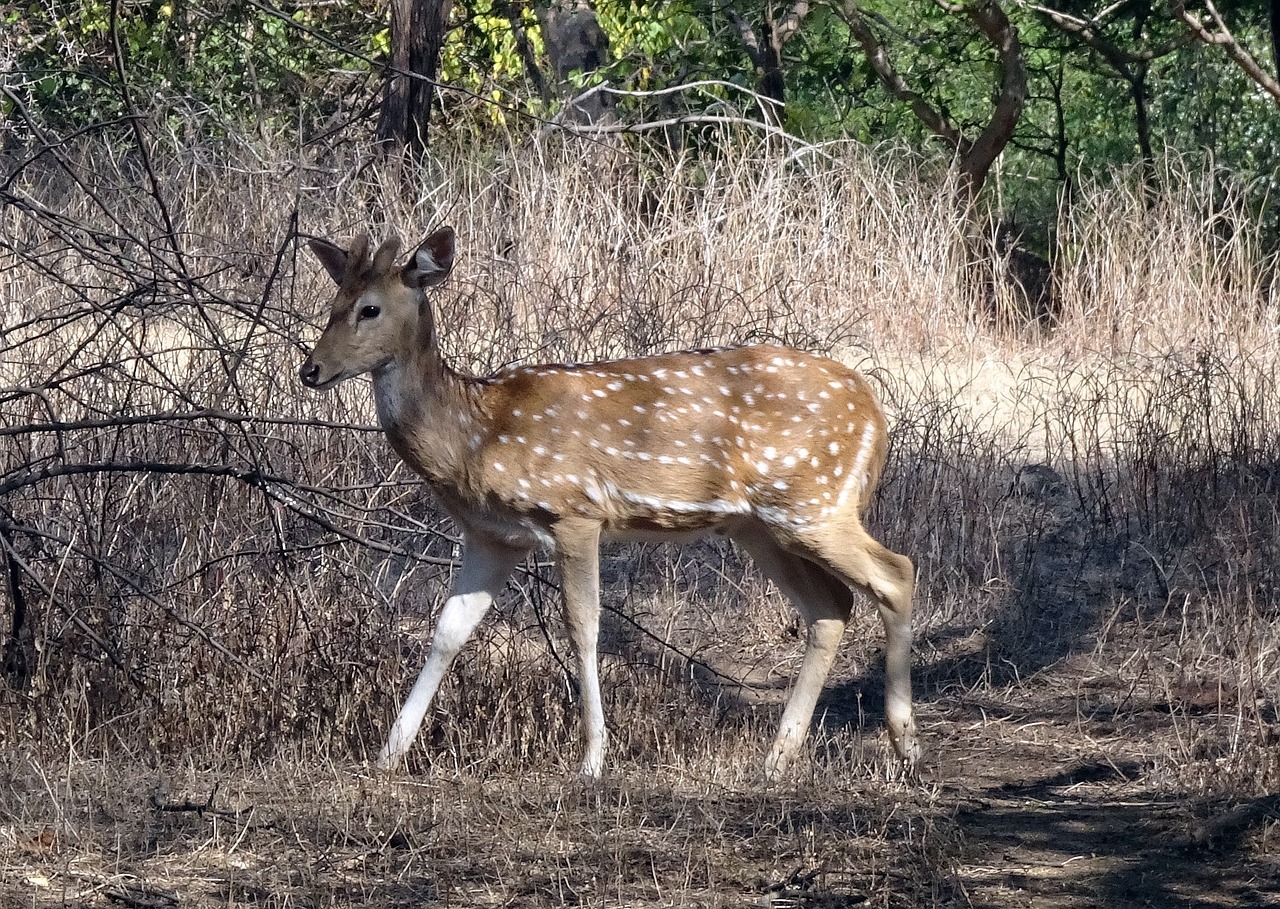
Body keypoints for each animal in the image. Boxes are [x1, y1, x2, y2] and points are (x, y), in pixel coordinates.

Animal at [299, 227, 921, 783]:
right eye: (332, 305)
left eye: (370, 309)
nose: (310, 370)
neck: (475, 436)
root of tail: (875, 412)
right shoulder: (494, 535)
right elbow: (449, 631)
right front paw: (388, 754)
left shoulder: (574, 510)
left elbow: (584, 626)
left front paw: (593, 760)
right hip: (758, 525)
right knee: (830, 605)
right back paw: (777, 759)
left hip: (814, 499)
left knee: (896, 572)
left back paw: (904, 743)